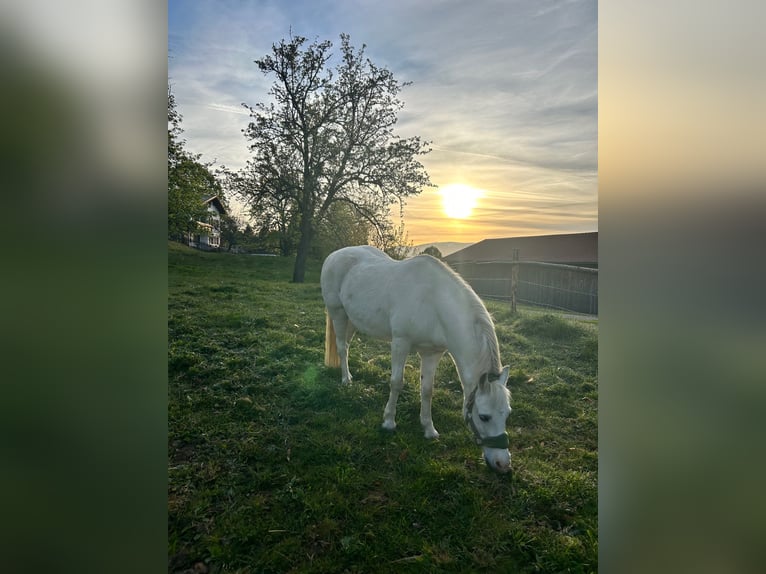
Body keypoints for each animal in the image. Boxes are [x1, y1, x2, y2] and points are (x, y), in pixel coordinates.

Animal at [320, 245, 512, 474]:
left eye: (508, 414)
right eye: (484, 416)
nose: (503, 464)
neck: (434, 303)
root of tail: (334, 255)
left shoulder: (432, 354)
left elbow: (427, 390)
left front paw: (429, 429)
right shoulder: (400, 343)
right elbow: (396, 383)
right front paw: (389, 422)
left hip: (352, 319)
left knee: (347, 346)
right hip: (338, 314)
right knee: (341, 348)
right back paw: (346, 380)